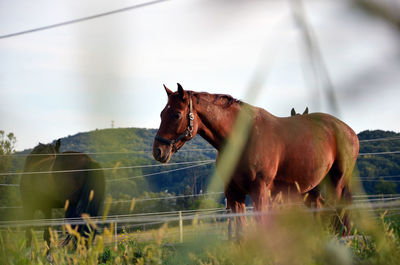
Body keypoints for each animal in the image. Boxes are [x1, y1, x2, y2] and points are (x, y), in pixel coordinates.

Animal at [152, 83, 360, 236]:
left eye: (176, 114)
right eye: (161, 114)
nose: (158, 151)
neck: (243, 138)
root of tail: (348, 130)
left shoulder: (260, 190)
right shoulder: (234, 194)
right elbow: (239, 232)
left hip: (336, 183)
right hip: (312, 189)